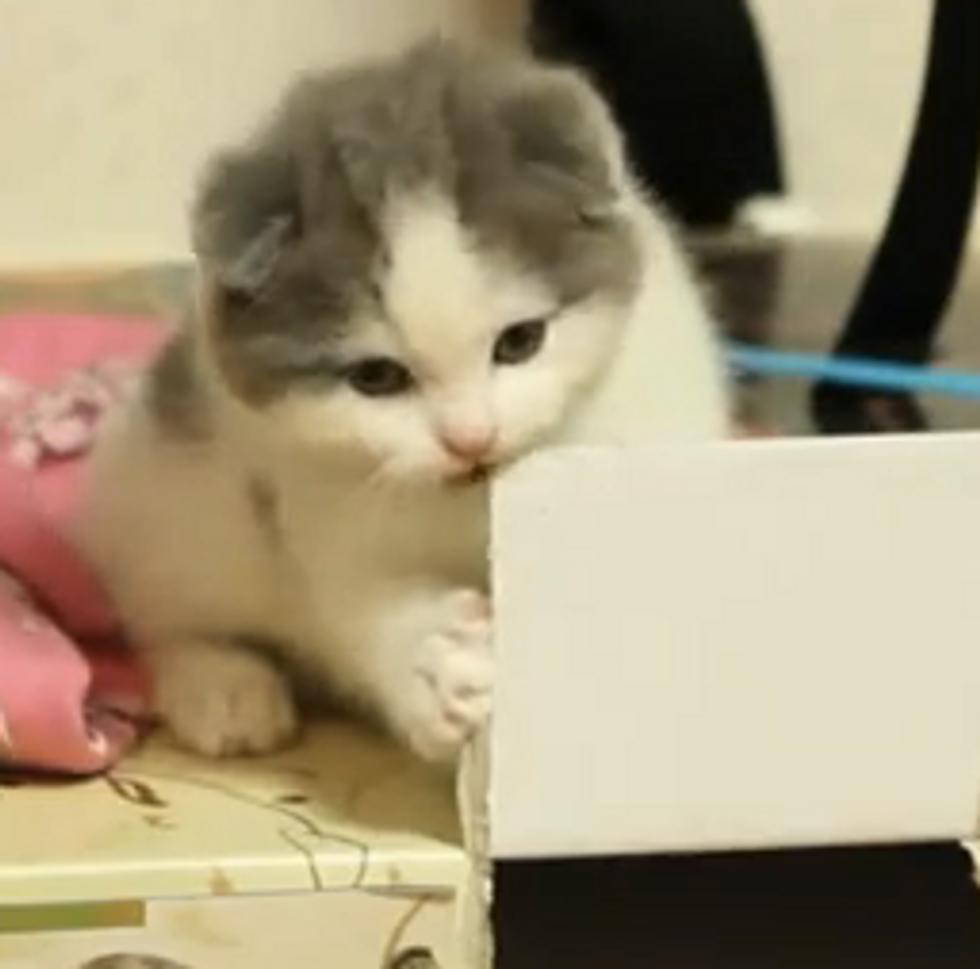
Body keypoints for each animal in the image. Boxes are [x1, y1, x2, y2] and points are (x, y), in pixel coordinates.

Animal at [74, 37, 728, 764]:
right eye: (377, 377)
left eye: (521, 341)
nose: (472, 439)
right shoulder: (306, 495)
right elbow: (351, 598)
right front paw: (435, 665)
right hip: (160, 497)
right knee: (161, 615)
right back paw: (221, 684)